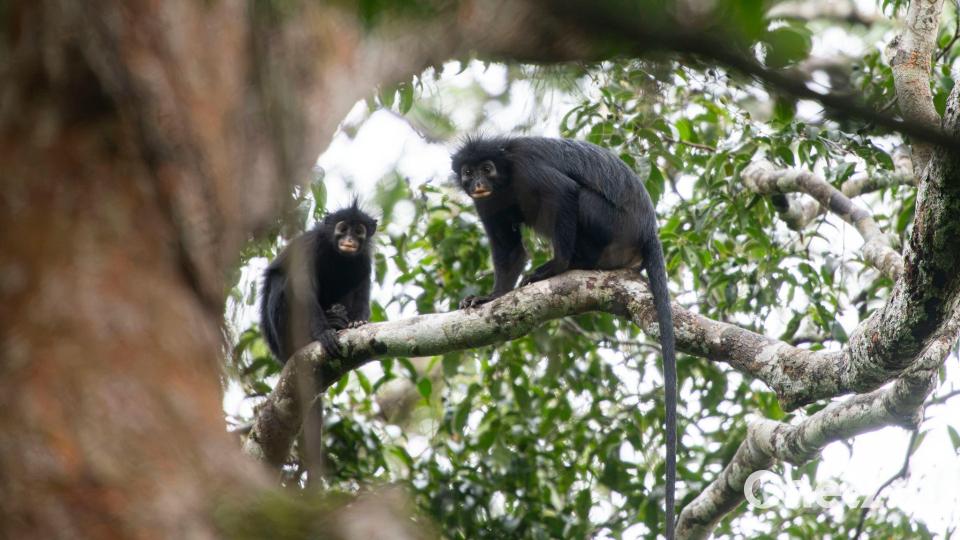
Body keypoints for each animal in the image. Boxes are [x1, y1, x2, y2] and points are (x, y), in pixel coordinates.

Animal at [260, 201, 377, 363]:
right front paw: (324, 333)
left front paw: (358, 322)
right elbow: (303, 291)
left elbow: (361, 292)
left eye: (358, 231)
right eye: (343, 229)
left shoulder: (364, 260)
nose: (349, 240)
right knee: (279, 280)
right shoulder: (309, 246)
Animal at [452, 136, 678, 539]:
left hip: (611, 224)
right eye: (468, 171)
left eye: (487, 168)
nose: (477, 181)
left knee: (580, 198)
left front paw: (555, 267)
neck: (505, 178)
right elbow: (509, 250)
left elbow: (564, 193)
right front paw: (491, 297)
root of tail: (647, 228)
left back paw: (571, 264)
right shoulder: (488, 203)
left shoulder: (527, 169)